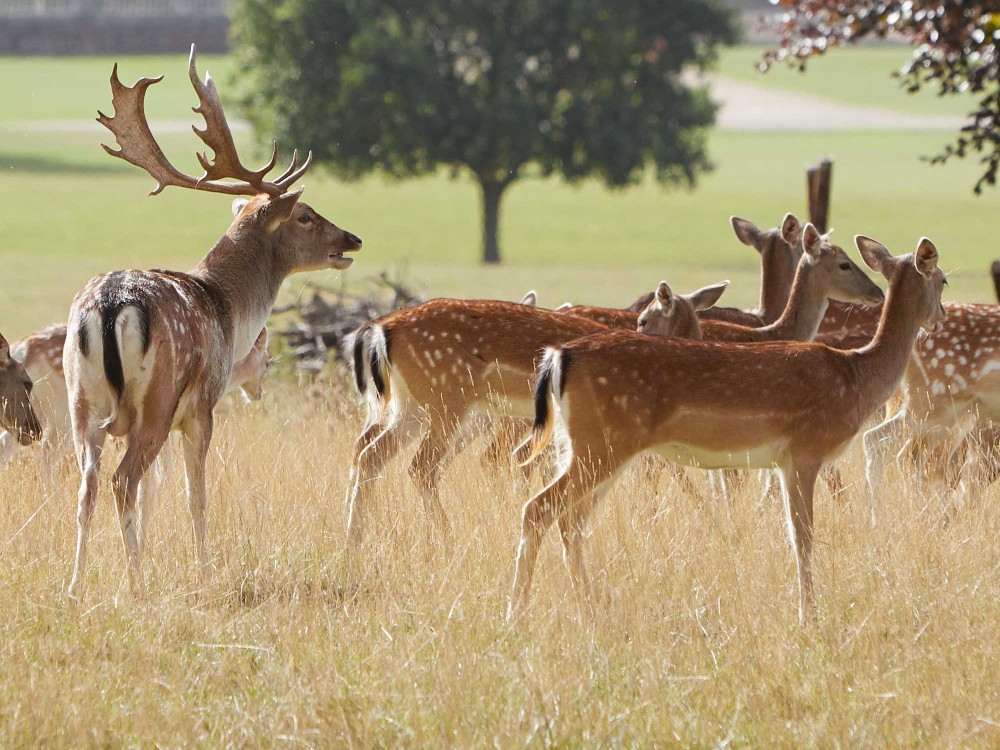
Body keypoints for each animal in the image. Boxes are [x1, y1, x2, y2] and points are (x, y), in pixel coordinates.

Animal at [63, 45, 360, 604]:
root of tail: (111, 305)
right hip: (156, 401)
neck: (226, 307)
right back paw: (136, 585)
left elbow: (157, 494)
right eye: (306, 215)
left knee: (87, 486)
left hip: (80, 400)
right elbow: (195, 495)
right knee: (121, 481)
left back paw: (75, 587)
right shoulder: (202, 406)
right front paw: (207, 574)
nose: (352, 239)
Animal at [344, 282, 728, 548]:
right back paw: (447, 536)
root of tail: (380, 329)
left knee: (371, 453)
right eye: (642, 318)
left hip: (411, 404)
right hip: (445, 397)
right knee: (420, 465)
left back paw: (355, 539)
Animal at [512, 235, 948, 624]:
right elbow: (802, 536)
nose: (941, 317)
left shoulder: (782, 462)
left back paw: (589, 612)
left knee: (570, 521)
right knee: (539, 508)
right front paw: (809, 616)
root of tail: (558, 356)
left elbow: (792, 532)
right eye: (943, 279)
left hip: (585, 446)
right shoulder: (806, 449)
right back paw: (516, 615)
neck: (856, 377)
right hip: (602, 443)